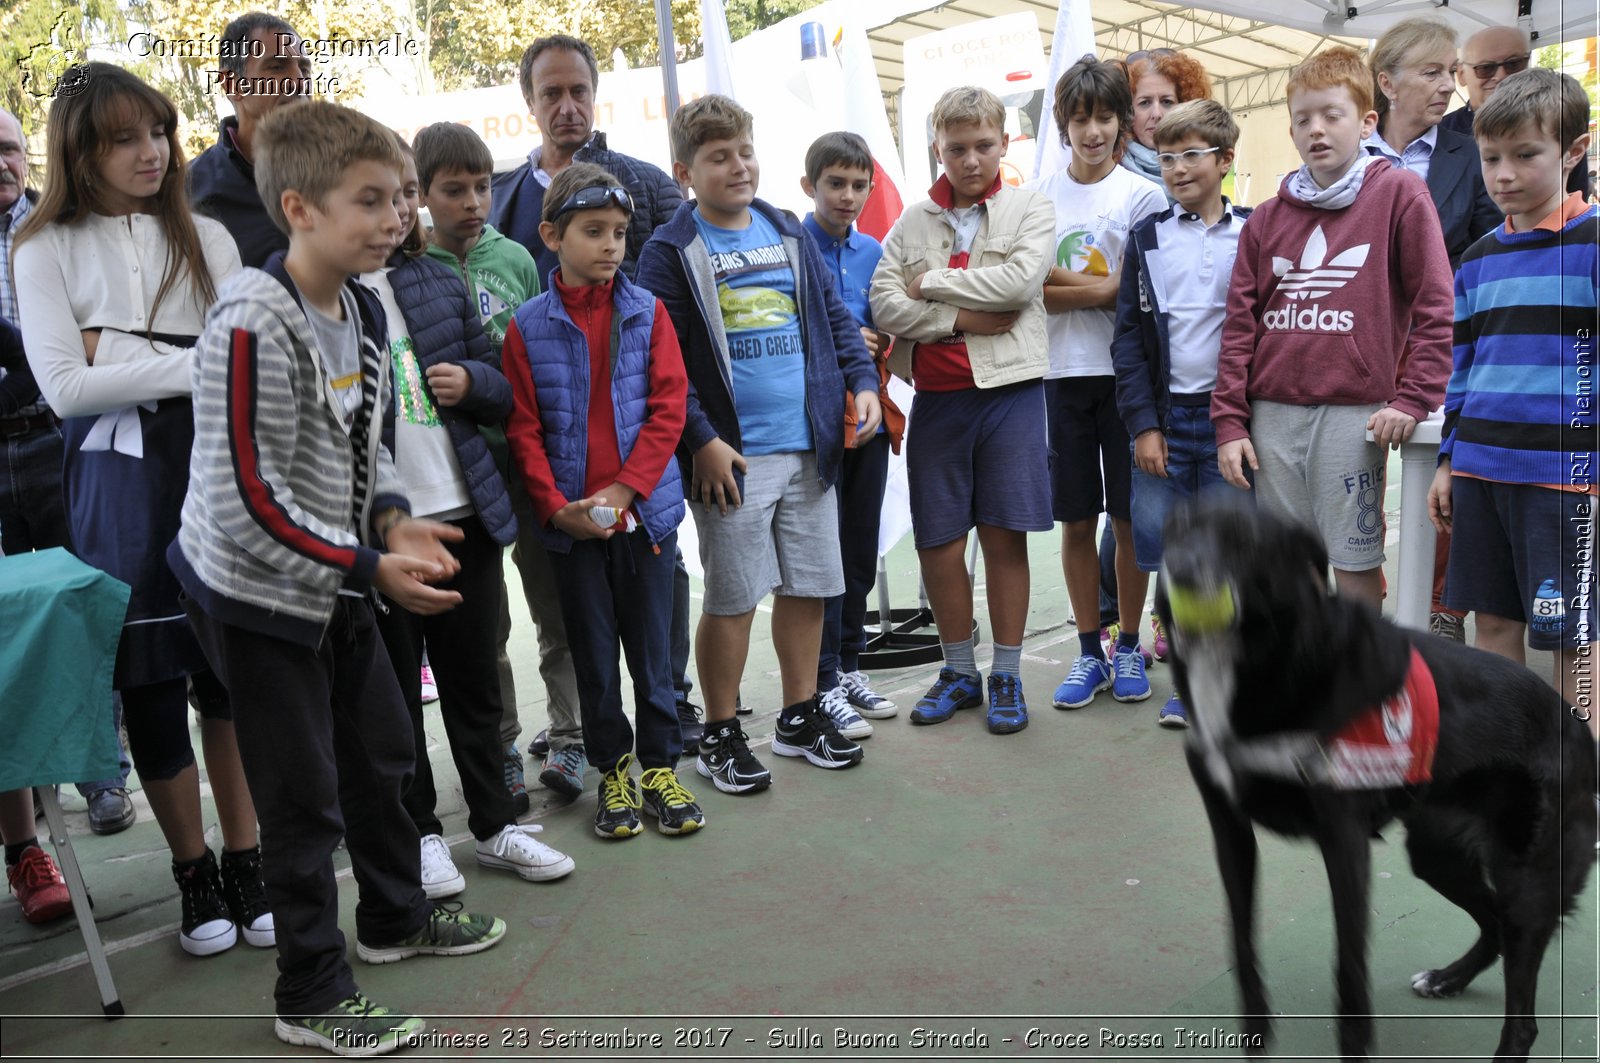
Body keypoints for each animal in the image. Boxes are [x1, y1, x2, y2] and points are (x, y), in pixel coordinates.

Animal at [1158, 499, 1593, 1063]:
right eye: (1176, 531)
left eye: (1245, 541)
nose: (1182, 573)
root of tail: (1581, 734)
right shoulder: (1230, 829)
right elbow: (1242, 942)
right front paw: (1255, 1033)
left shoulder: (1343, 842)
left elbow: (1349, 968)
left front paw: (1355, 1044)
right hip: (1436, 854)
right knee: (1492, 925)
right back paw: (1447, 979)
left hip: (1527, 885)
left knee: (1523, 1020)